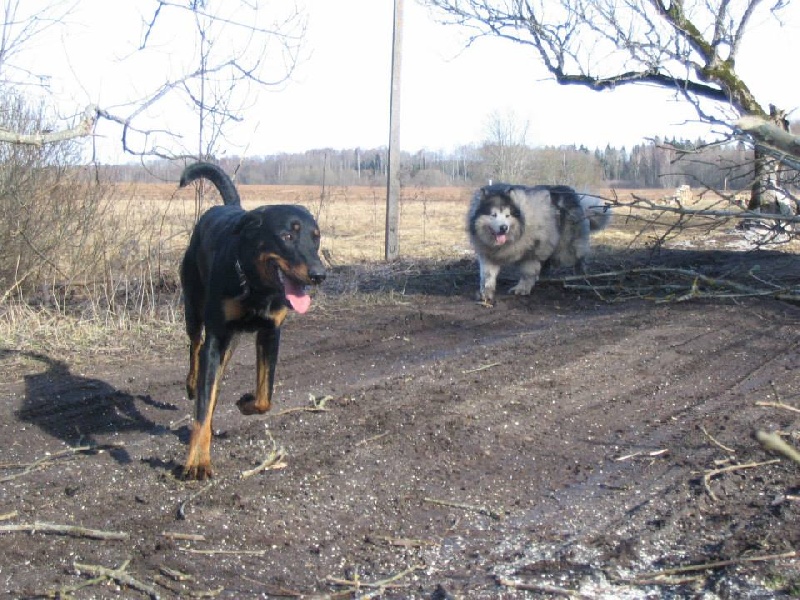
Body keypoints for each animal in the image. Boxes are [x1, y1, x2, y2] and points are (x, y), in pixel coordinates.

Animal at [178, 163, 324, 478]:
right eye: (288, 236)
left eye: (316, 237)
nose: (319, 274)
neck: (257, 287)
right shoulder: (217, 336)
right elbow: (202, 408)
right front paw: (197, 460)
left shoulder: (270, 332)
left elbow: (264, 396)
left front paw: (246, 403)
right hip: (194, 306)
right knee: (195, 345)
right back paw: (193, 382)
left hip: (231, 340)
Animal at [466, 183, 608, 304]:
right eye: (493, 215)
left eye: (507, 215)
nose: (503, 228)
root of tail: (573, 193)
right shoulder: (488, 255)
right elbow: (487, 276)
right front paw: (486, 293)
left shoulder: (532, 250)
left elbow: (527, 272)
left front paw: (522, 288)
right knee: (547, 262)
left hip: (566, 248)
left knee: (579, 257)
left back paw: (581, 275)